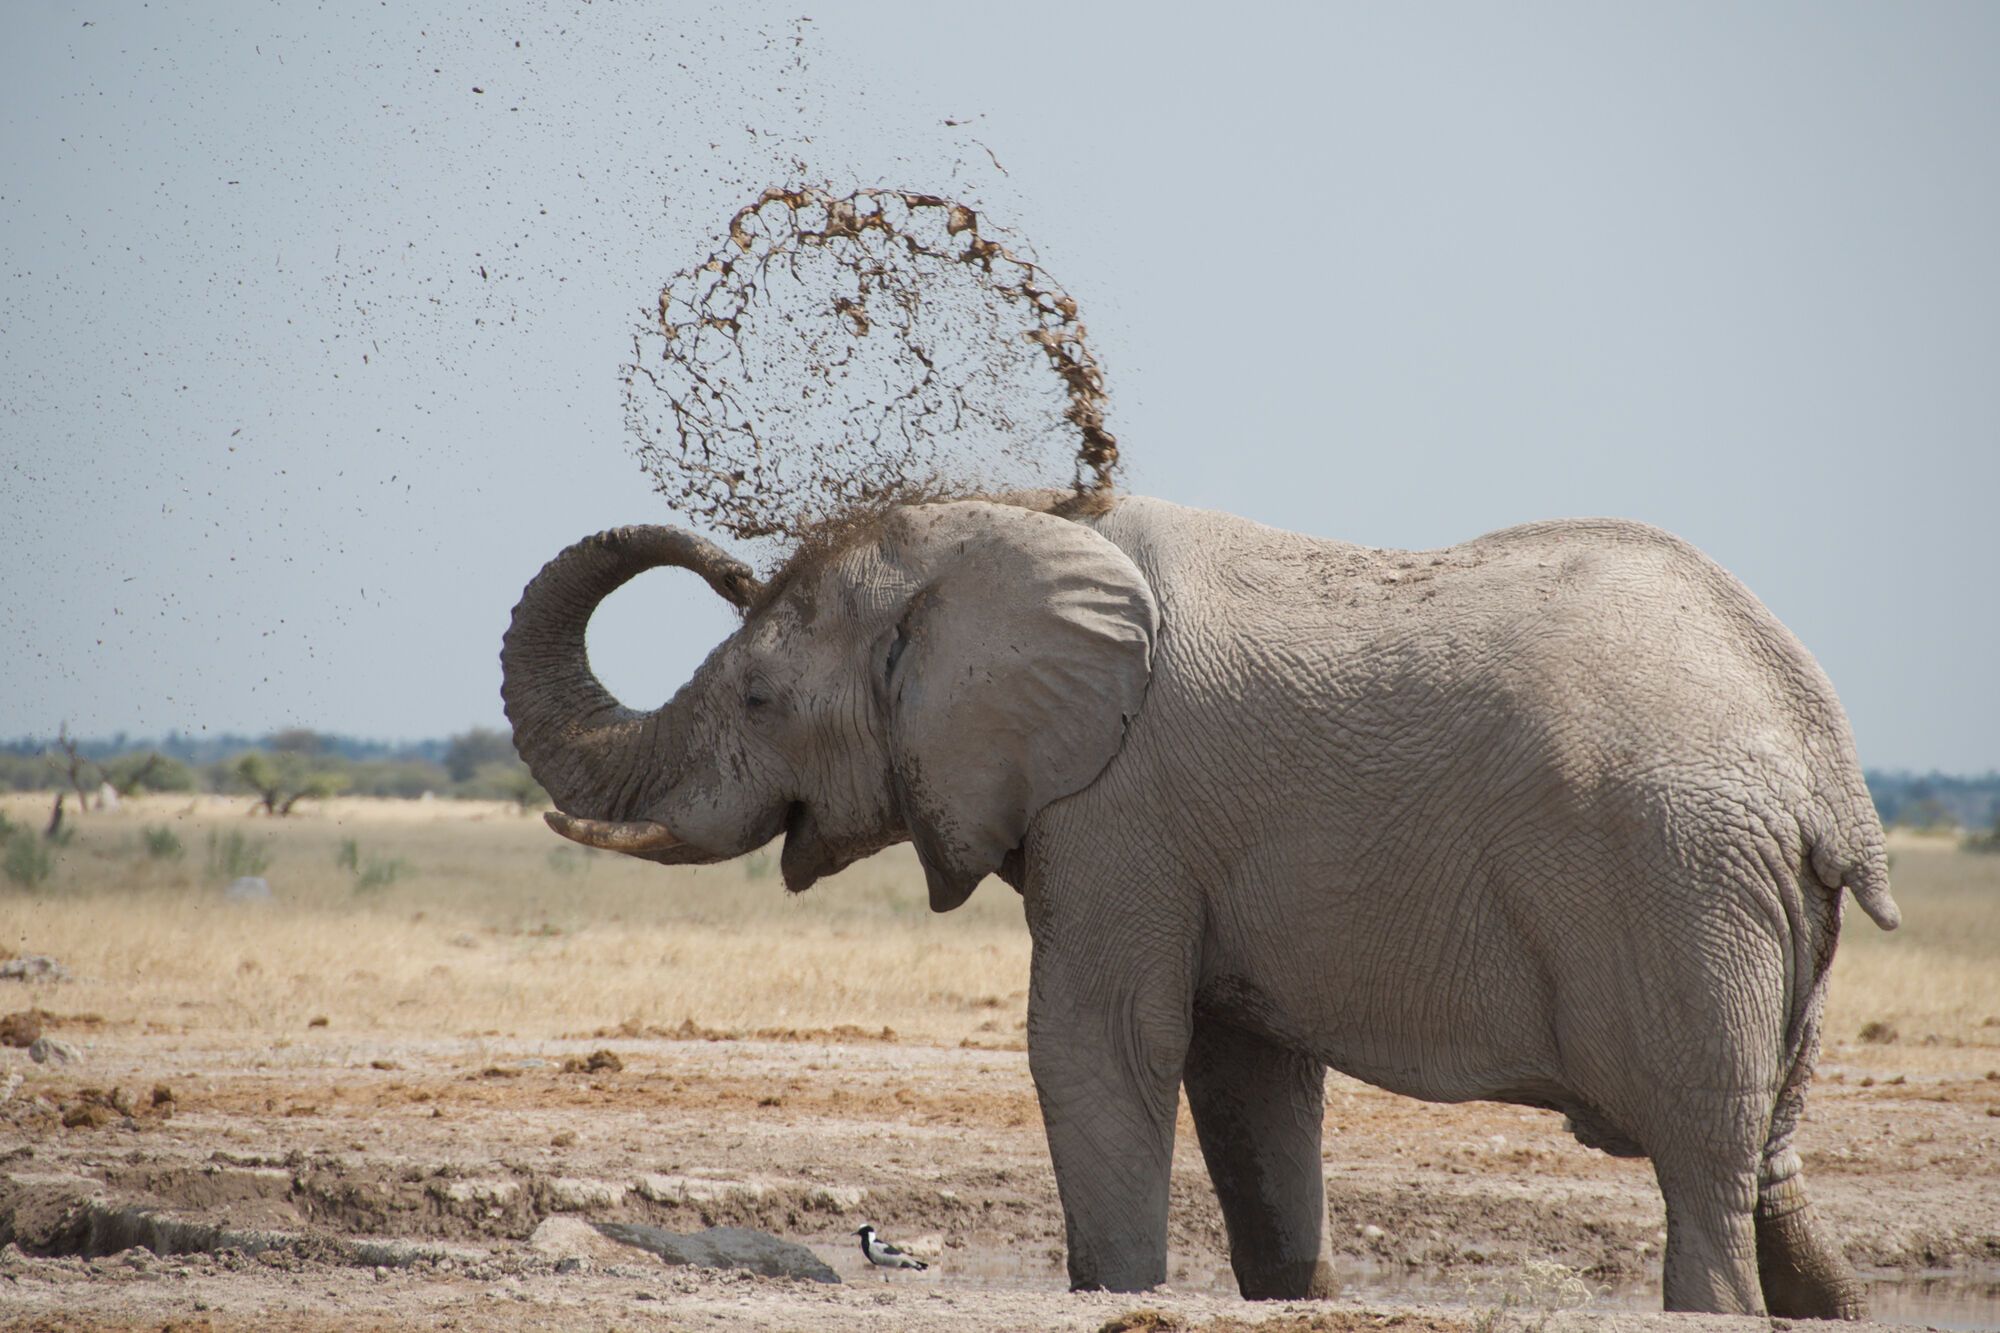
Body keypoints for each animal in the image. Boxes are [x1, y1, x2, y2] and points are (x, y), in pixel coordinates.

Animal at [499, 491, 1899, 1315]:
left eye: (756, 699)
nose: (725, 560)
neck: (1017, 526)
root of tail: (1821, 759)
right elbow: (1244, 1077)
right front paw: (1290, 1294)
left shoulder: (1122, 809)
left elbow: (1095, 1045)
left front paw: (1111, 1289)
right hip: (1749, 908)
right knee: (1763, 1154)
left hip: (1678, 885)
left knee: (1701, 1157)